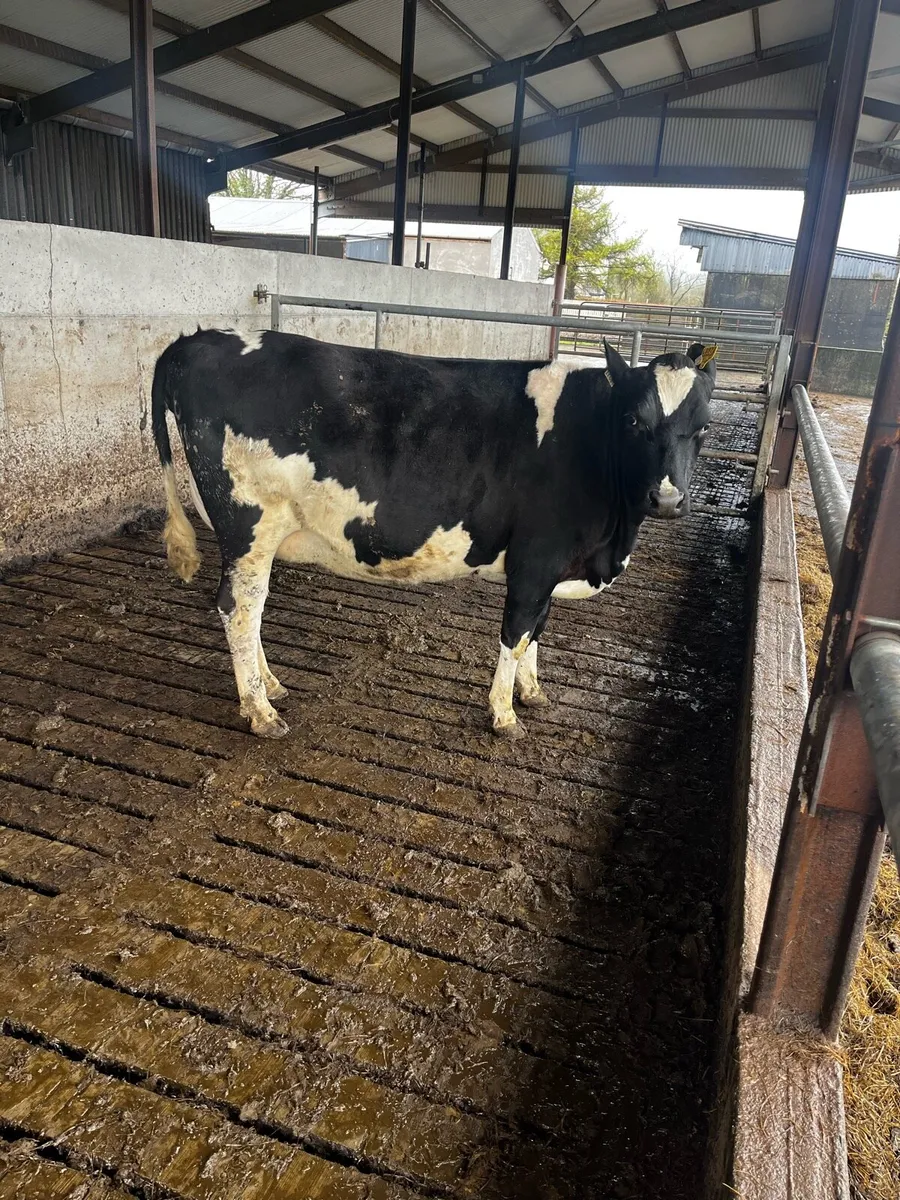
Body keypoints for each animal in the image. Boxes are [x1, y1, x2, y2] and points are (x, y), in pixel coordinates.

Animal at [151, 329, 716, 739]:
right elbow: (515, 634)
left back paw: (271, 687)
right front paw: (504, 715)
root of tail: (198, 340)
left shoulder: (552, 568)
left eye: (705, 426)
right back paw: (260, 711)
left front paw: (532, 692)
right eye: (634, 420)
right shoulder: (535, 560)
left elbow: (538, 629)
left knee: (249, 610)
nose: (667, 499)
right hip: (249, 525)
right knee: (239, 610)